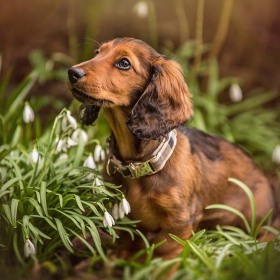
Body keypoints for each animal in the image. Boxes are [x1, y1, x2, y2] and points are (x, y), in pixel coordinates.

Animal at [67, 37, 278, 260]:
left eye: (124, 63)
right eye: (97, 53)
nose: (72, 72)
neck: (139, 164)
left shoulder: (180, 221)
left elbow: (165, 250)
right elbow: (126, 241)